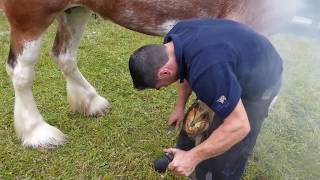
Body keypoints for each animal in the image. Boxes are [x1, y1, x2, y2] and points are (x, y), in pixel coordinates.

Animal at [1, 0, 300, 148]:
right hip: (31, 16)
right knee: (22, 72)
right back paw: (37, 133)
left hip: (75, 9)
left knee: (64, 56)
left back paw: (91, 102)